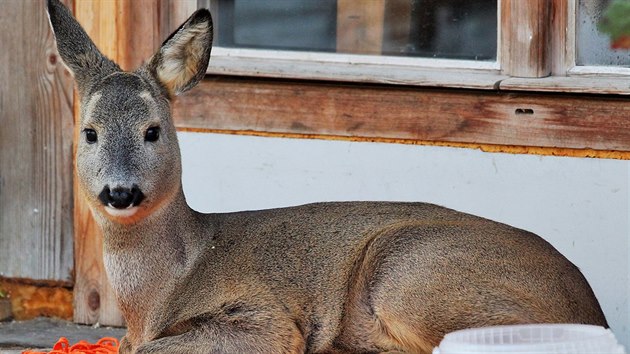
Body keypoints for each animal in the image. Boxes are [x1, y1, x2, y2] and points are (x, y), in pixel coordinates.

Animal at [47, 1, 608, 352]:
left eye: (153, 130)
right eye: (90, 132)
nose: (121, 191)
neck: (158, 295)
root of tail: (590, 308)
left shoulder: (266, 316)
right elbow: (125, 347)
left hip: (410, 270)